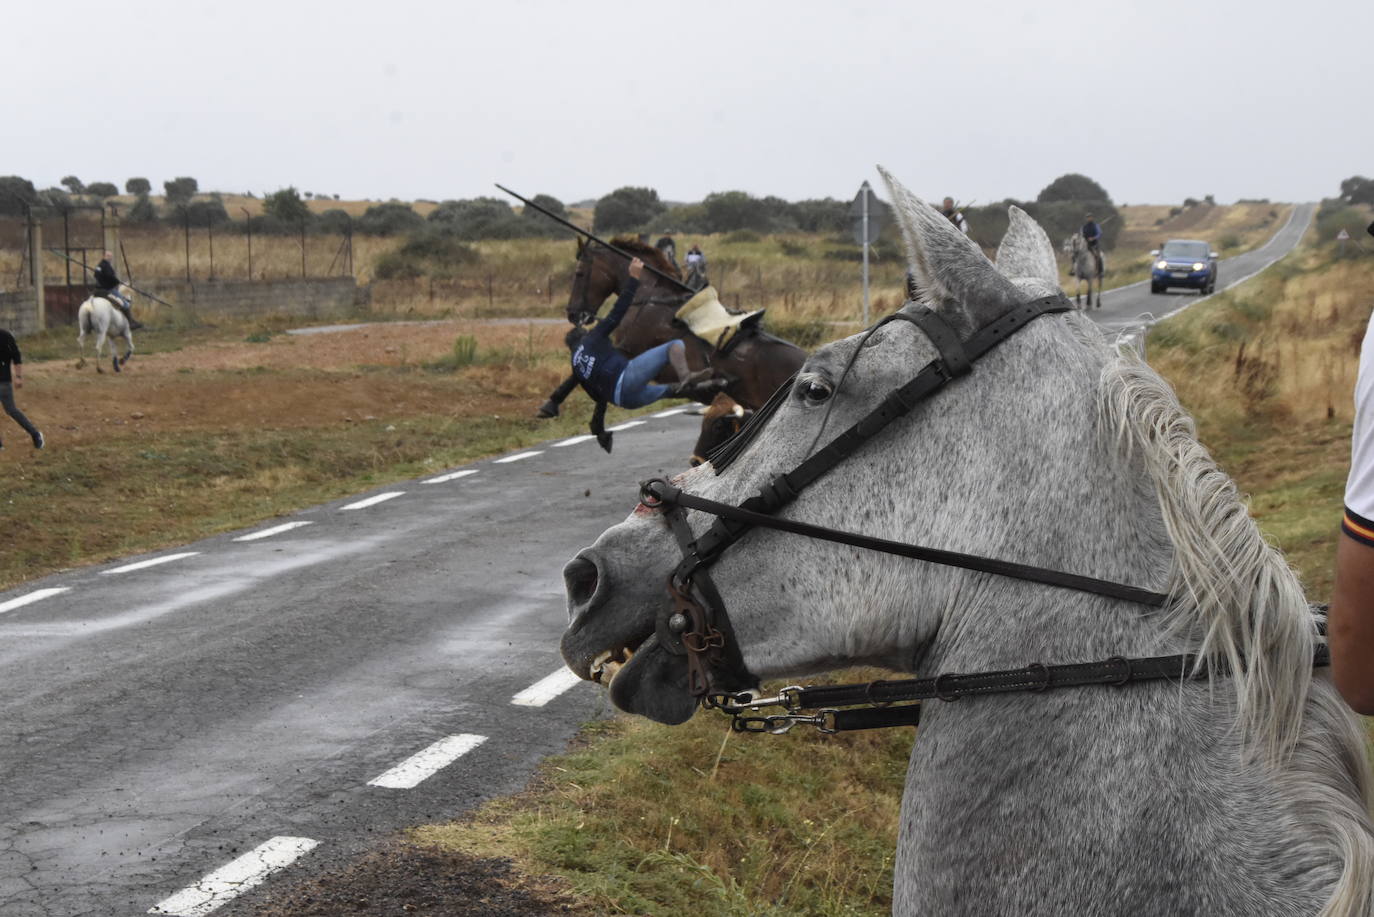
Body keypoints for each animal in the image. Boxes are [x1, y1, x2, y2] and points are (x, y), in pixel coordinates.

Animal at [535, 240, 802, 420]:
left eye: (579, 273)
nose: (573, 313)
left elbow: (578, 371)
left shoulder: (627, 352)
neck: (650, 298)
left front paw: (550, 404)